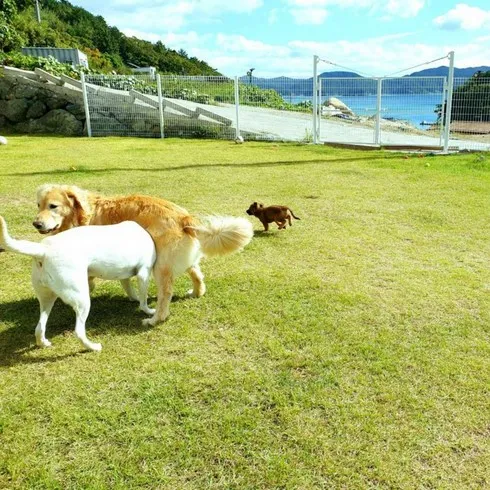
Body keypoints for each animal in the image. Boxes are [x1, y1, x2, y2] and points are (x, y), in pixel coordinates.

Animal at [0, 216, 156, 350]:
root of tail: (44, 250)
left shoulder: (124, 277)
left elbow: (130, 290)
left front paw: (134, 298)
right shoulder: (143, 274)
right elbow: (143, 301)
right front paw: (149, 311)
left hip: (47, 299)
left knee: (39, 328)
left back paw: (44, 343)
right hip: (82, 300)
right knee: (79, 331)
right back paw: (93, 347)